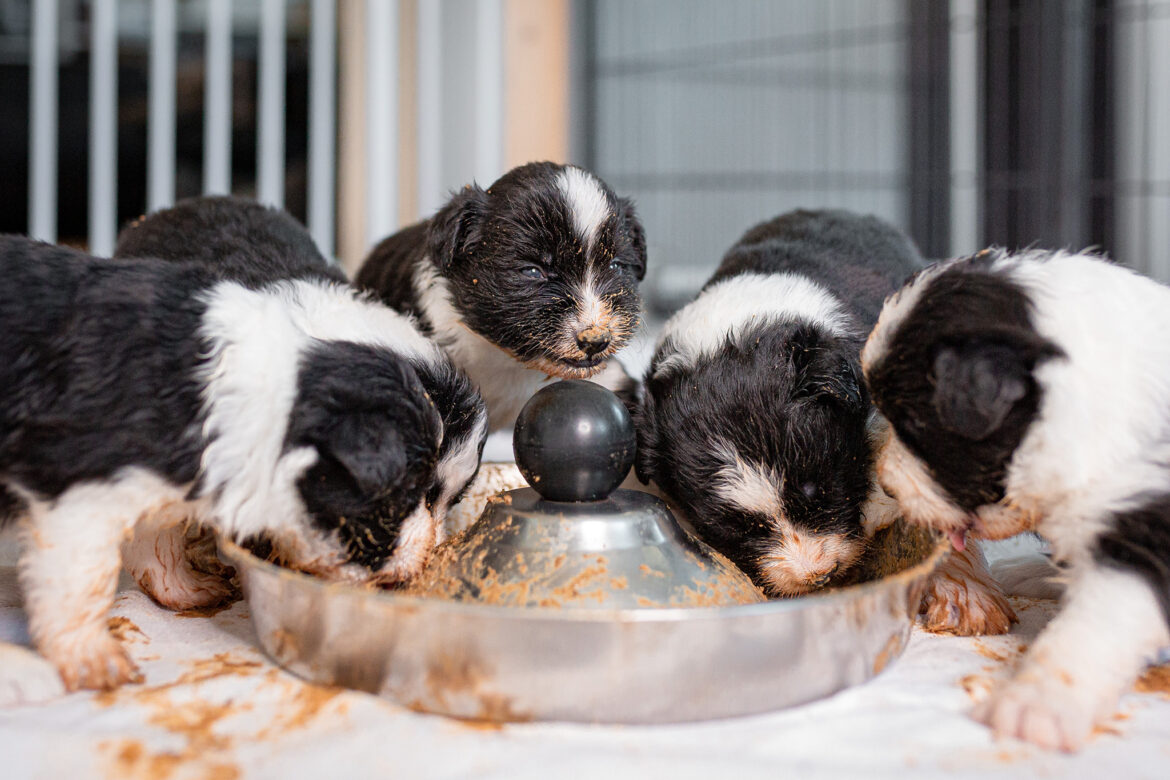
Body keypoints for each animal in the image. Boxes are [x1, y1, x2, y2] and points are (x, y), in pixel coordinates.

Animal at [0, 236, 472, 696]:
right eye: (406, 494)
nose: (422, 563)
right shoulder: (79, 493)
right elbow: (82, 579)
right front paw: (97, 662)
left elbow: (157, 538)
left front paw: (191, 592)